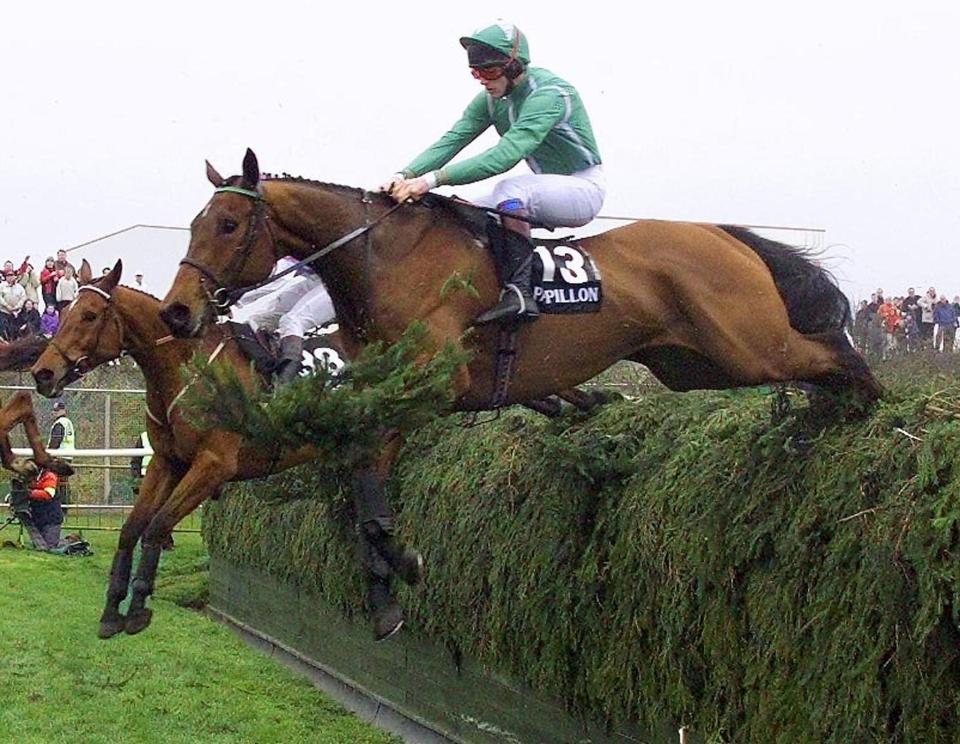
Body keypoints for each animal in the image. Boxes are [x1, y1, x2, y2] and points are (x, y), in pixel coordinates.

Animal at [27, 262, 378, 640]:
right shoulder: (167, 461)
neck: (187, 370)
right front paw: (111, 610)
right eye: (64, 315)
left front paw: (137, 609)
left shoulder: (213, 465)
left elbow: (157, 526)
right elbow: (132, 528)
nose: (42, 373)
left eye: (89, 315)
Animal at [161, 148, 880, 636]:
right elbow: (367, 491)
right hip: (692, 363)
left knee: (827, 353)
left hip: (745, 344)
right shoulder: (387, 398)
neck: (384, 261)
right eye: (195, 222)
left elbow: (367, 479)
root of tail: (718, 233)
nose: (177, 312)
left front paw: (399, 565)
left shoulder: (430, 384)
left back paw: (864, 406)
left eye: (228, 225)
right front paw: (389, 588)